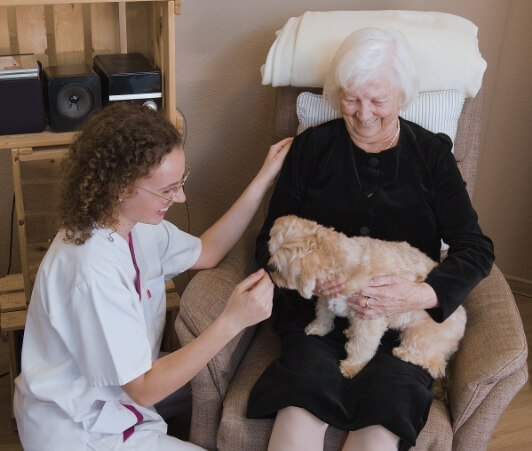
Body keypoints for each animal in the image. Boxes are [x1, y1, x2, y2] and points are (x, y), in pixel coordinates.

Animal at [266, 217, 466, 380]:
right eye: (272, 251)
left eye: (281, 267)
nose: (269, 267)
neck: (341, 262)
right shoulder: (326, 297)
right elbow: (323, 316)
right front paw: (318, 328)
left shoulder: (369, 318)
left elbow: (362, 346)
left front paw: (352, 366)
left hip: (419, 335)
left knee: (435, 364)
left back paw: (404, 353)